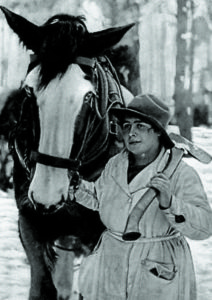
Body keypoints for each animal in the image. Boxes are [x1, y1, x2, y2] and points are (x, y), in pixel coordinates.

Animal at [0, 6, 134, 300]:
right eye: (29, 91)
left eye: (88, 97)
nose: (47, 196)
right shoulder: (30, 221)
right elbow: (43, 286)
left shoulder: (102, 235)